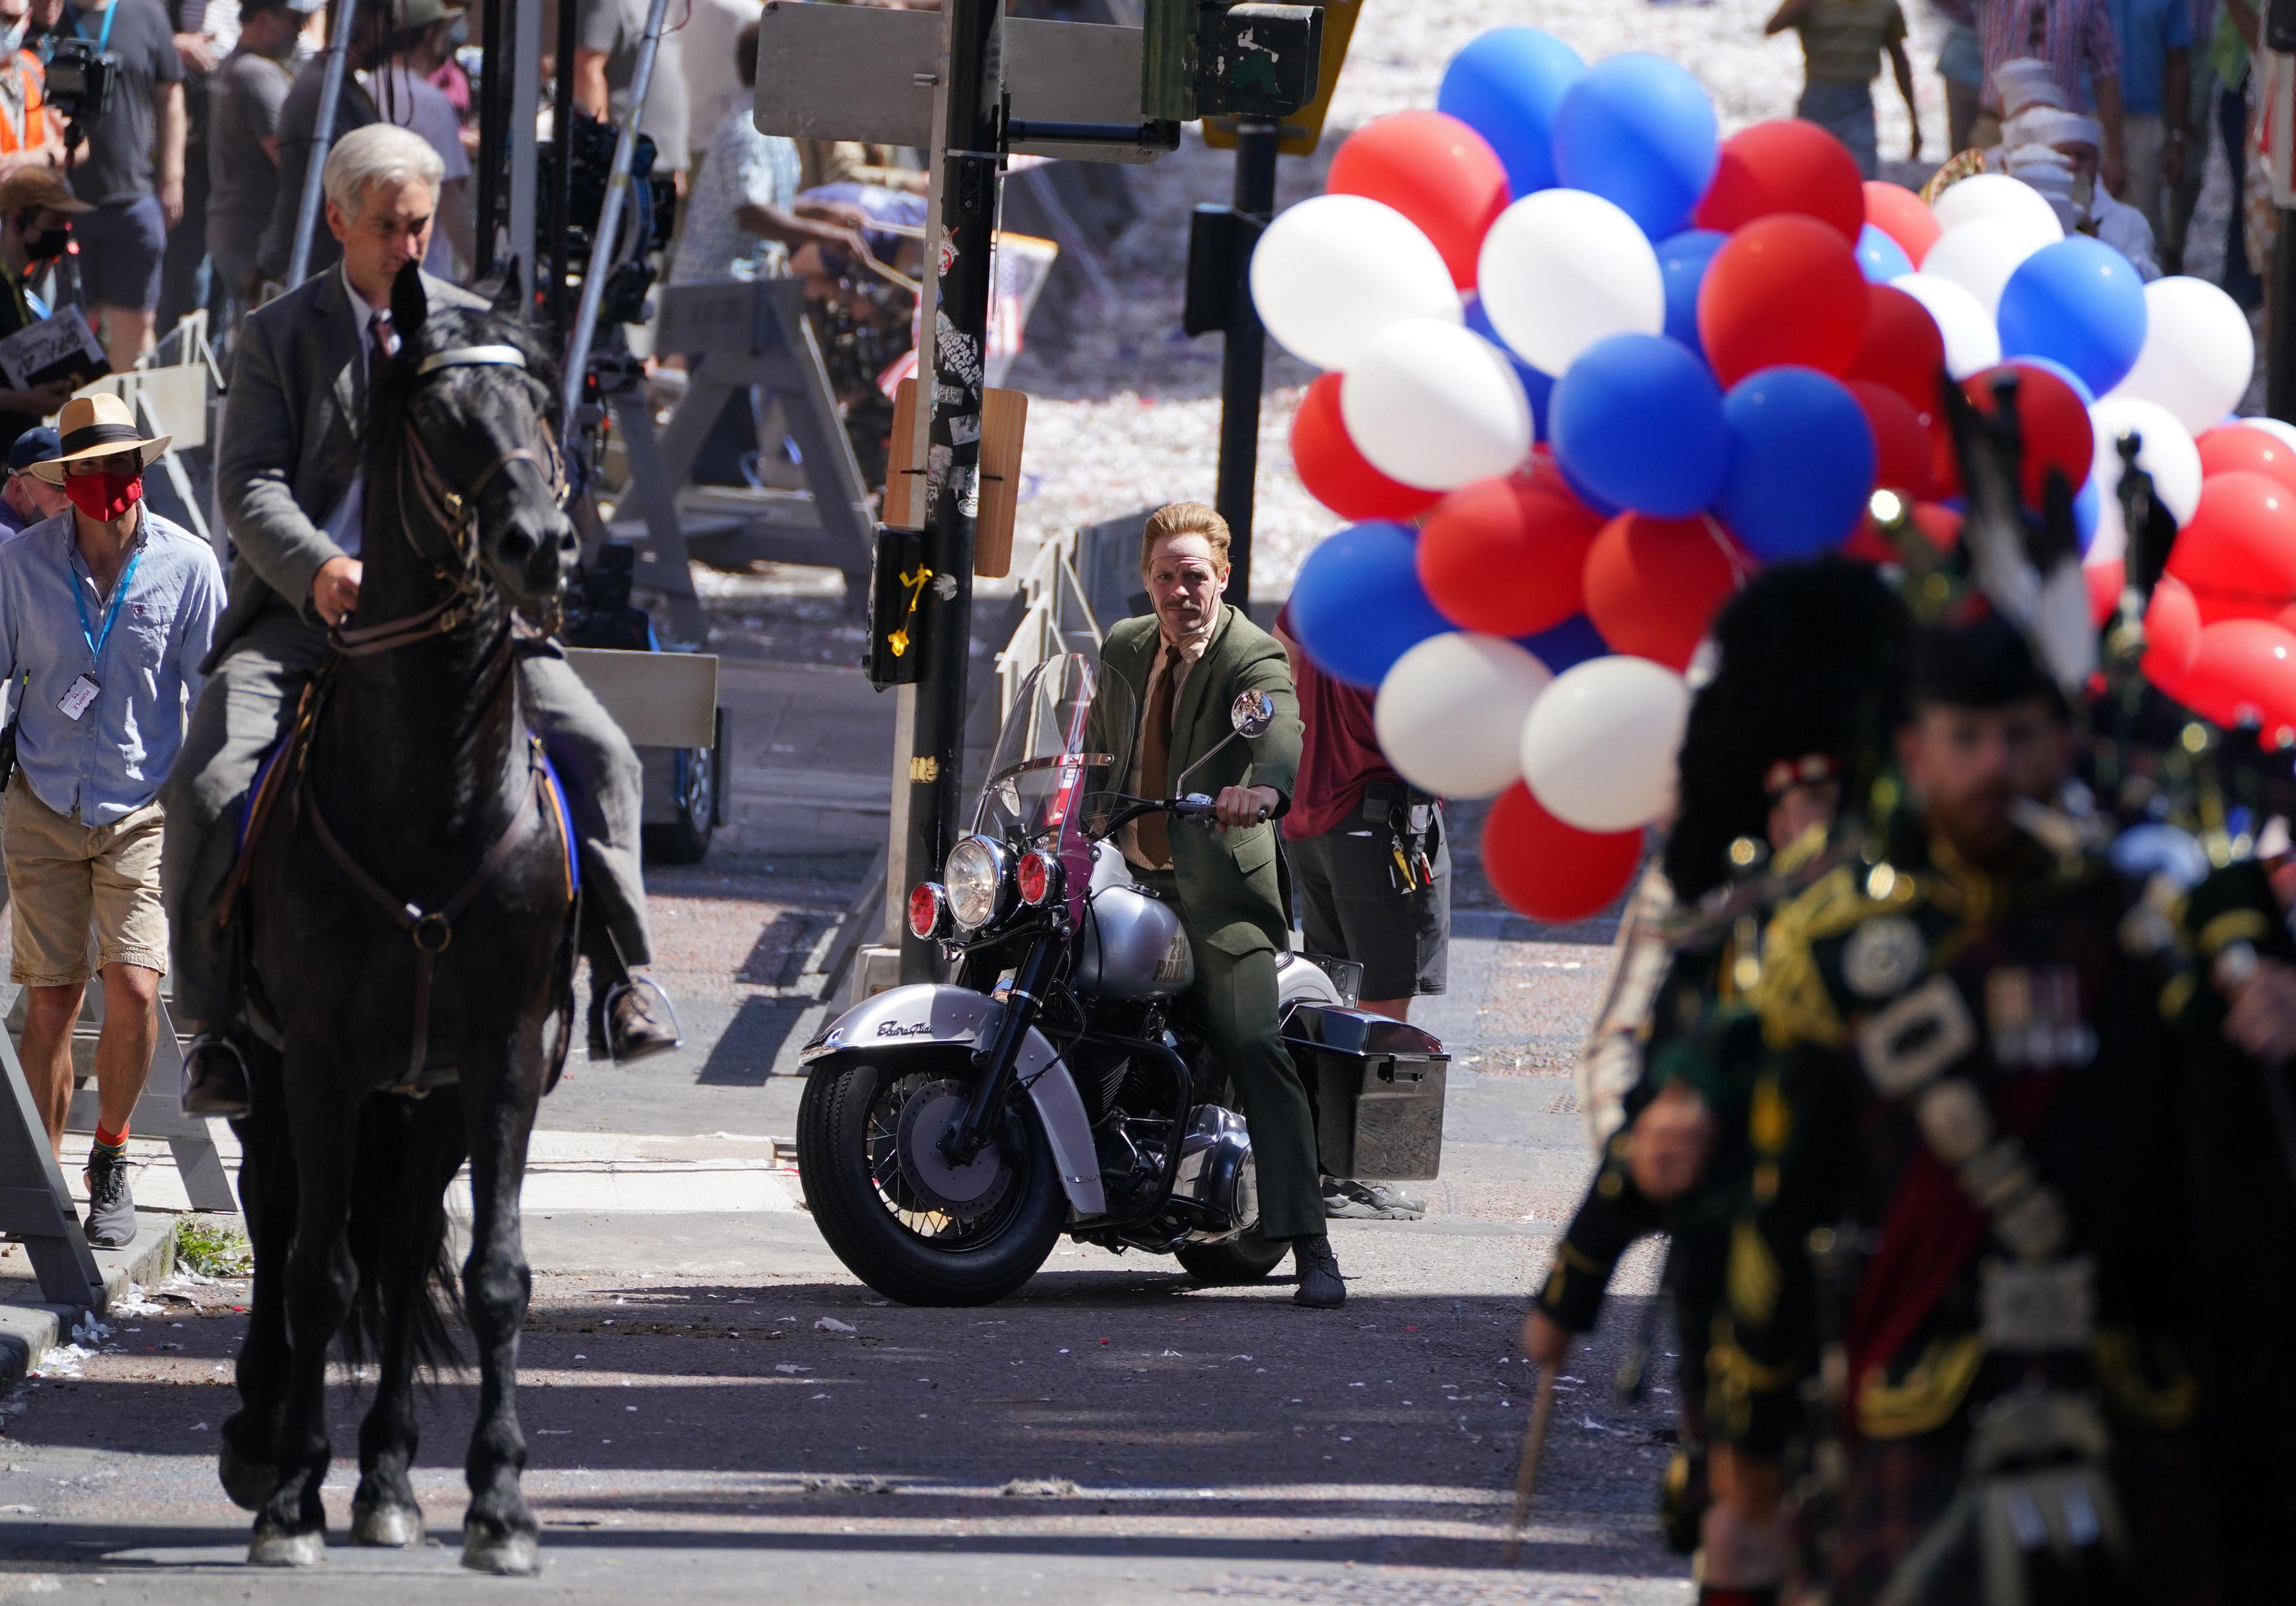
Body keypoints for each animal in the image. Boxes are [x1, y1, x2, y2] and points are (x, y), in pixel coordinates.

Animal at [216, 261, 583, 1571]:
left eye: (541, 406)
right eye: (437, 416)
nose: (540, 546)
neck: (433, 795)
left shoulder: (500, 1056)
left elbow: (494, 1273)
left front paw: (501, 1501)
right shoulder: (322, 1059)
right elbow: (319, 1273)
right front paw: (288, 1500)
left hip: (424, 1100)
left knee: (408, 1235)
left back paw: (380, 1474)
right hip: (273, 1079)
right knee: (284, 1224)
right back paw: (264, 1434)